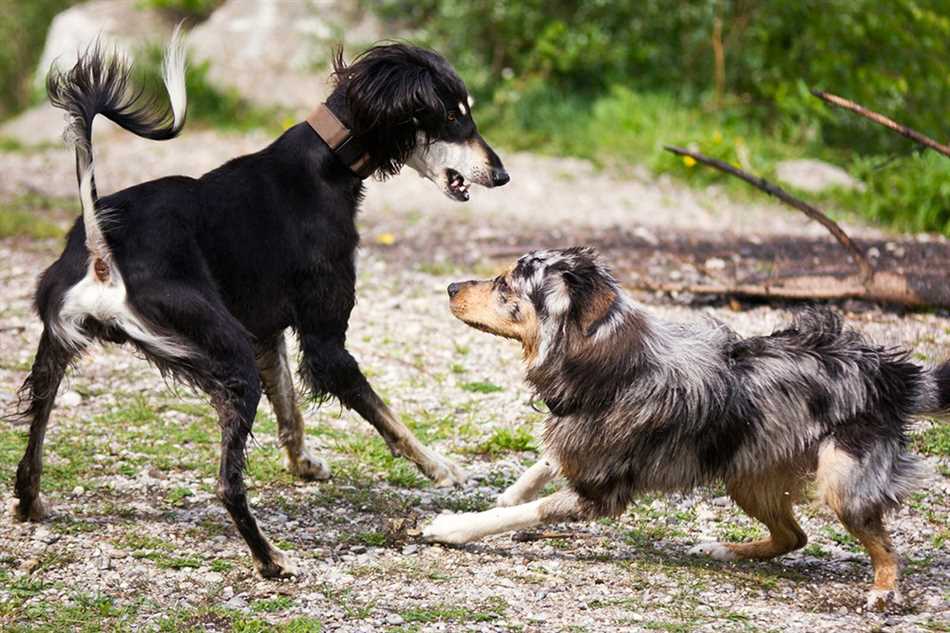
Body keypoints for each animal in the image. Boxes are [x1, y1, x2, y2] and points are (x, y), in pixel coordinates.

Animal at [11, 30, 510, 576]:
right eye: (453, 117)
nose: (501, 175)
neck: (326, 164)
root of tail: (103, 248)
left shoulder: (264, 331)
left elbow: (290, 407)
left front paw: (303, 463)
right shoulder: (324, 343)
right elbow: (386, 416)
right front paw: (439, 467)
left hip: (58, 347)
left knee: (32, 439)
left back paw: (29, 502)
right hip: (225, 355)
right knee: (227, 483)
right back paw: (270, 558)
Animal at [428, 246, 948, 608]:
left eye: (505, 284)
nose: (450, 286)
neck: (609, 365)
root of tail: (890, 372)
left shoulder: (599, 493)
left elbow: (520, 514)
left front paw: (453, 527)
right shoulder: (584, 440)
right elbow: (548, 459)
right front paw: (509, 490)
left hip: (842, 481)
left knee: (883, 545)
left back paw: (883, 591)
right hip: (747, 474)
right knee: (794, 536)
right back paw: (726, 550)